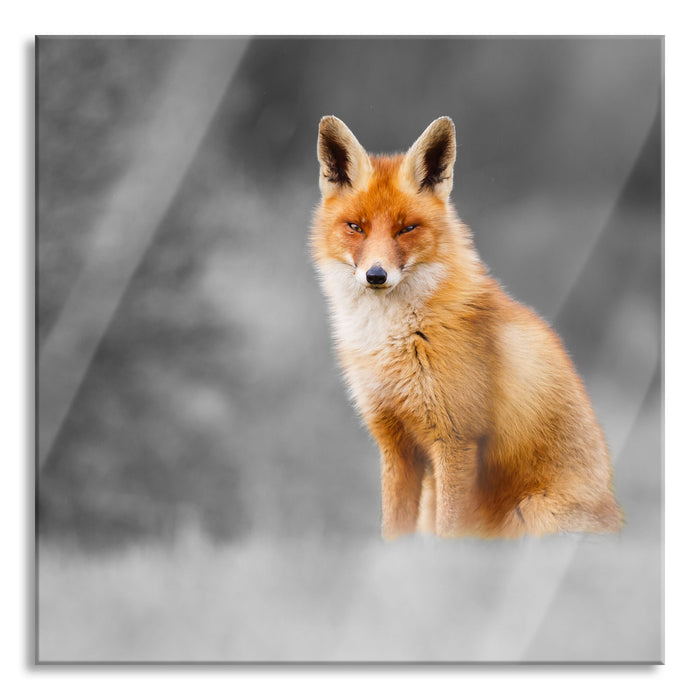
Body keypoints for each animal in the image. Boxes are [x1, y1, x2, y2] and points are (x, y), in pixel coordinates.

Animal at [311, 115, 623, 540]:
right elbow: (392, 533)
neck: (395, 340)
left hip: (531, 514)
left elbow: (449, 536)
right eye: (356, 227)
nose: (376, 275)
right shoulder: (396, 444)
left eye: (407, 229)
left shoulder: (456, 440)